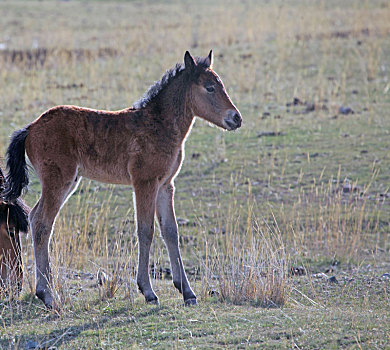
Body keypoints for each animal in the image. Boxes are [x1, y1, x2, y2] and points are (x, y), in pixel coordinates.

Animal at [3, 50, 242, 308]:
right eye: (209, 88)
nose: (236, 118)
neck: (159, 125)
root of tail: (30, 128)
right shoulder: (145, 182)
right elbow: (146, 230)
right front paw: (148, 291)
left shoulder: (166, 185)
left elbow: (171, 231)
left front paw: (187, 291)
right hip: (58, 180)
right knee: (42, 223)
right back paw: (48, 295)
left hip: (67, 181)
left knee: (36, 217)